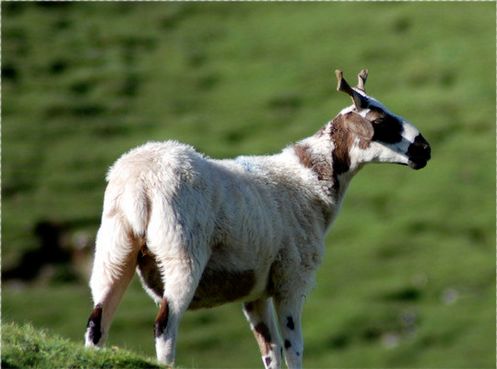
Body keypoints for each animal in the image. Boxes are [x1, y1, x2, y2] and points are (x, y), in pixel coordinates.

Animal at [84, 69, 430, 368]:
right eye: (381, 121)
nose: (425, 150)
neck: (311, 179)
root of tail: (139, 182)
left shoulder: (255, 291)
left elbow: (270, 351)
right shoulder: (292, 278)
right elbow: (293, 347)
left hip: (114, 248)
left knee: (96, 321)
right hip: (180, 252)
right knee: (164, 324)